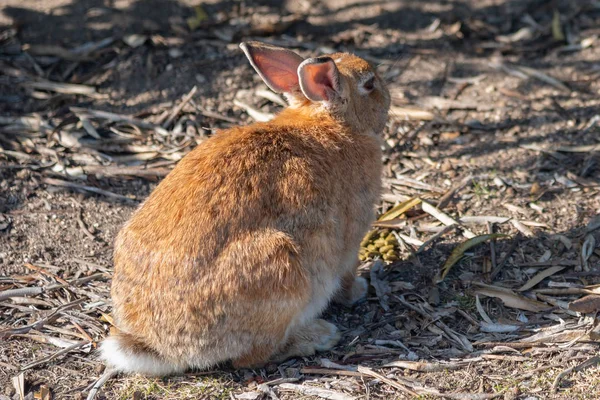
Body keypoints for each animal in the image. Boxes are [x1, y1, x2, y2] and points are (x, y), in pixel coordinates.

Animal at [101, 40, 392, 376]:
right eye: (369, 84)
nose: (388, 96)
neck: (332, 124)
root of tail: (166, 348)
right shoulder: (350, 242)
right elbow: (346, 274)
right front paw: (359, 289)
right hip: (281, 270)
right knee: (252, 357)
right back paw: (317, 336)